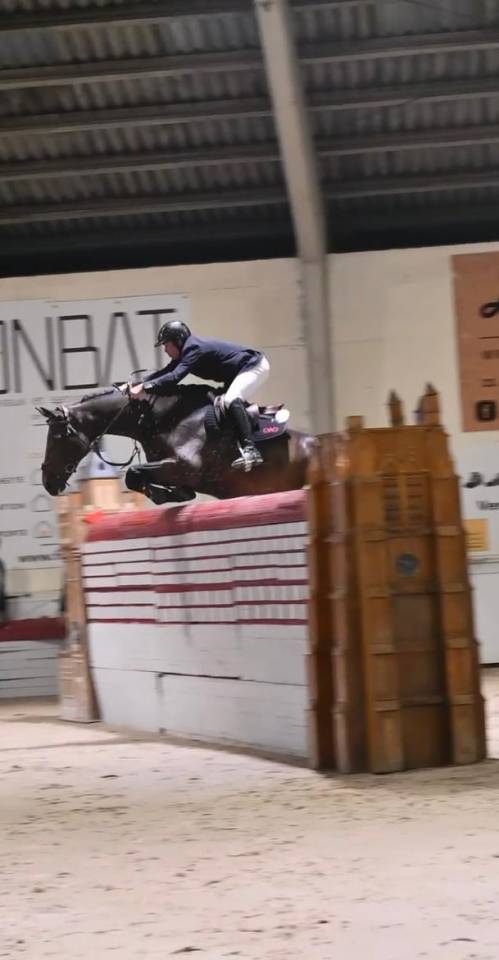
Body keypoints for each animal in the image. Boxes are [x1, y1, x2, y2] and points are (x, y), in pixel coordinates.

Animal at [38, 383, 316, 504]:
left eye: (58, 437)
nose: (48, 482)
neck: (162, 420)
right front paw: (172, 494)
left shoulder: (184, 467)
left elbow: (132, 473)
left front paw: (160, 495)